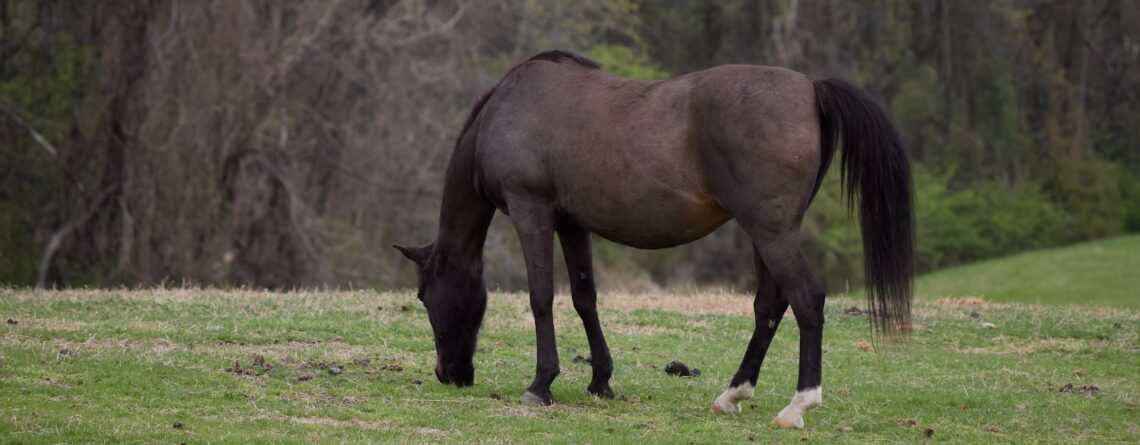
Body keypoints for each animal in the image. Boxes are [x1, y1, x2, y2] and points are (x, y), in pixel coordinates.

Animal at [396, 50, 912, 429]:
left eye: (424, 297)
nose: (449, 375)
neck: (508, 110)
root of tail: (810, 86)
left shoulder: (532, 213)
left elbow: (542, 297)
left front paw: (541, 384)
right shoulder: (572, 224)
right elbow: (584, 297)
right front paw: (600, 381)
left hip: (771, 233)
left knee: (806, 300)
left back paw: (798, 405)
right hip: (766, 234)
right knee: (769, 304)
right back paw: (733, 394)